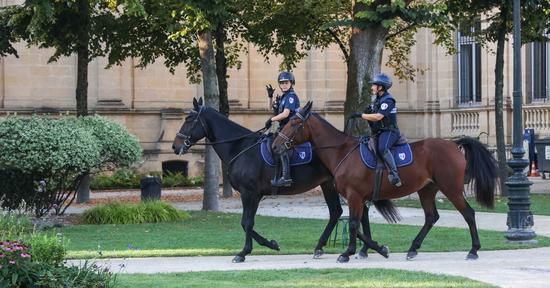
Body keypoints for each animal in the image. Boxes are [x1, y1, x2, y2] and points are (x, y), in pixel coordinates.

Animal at [170, 98, 398, 262]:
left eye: (189, 120)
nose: (175, 146)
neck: (240, 147)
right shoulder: (252, 195)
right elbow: (247, 223)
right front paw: (270, 244)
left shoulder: (250, 193)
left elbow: (247, 222)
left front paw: (245, 252)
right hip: (330, 185)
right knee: (340, 213)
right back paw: (343, 248)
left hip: (344, 188)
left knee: (353, 213)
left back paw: (364, 248)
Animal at [272, 102, 500, 264]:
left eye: (294, 124)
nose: (274, 146)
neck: (342, 152)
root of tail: (453, 144)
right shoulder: (360, 198)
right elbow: (359, 225)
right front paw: (377, 249)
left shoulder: (355, 196)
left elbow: (354, 224)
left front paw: (348, 253)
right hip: (427, 190)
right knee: (431, 217)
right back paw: (413, 248)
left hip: (451, 189)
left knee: (468, 213)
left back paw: (473, 250)